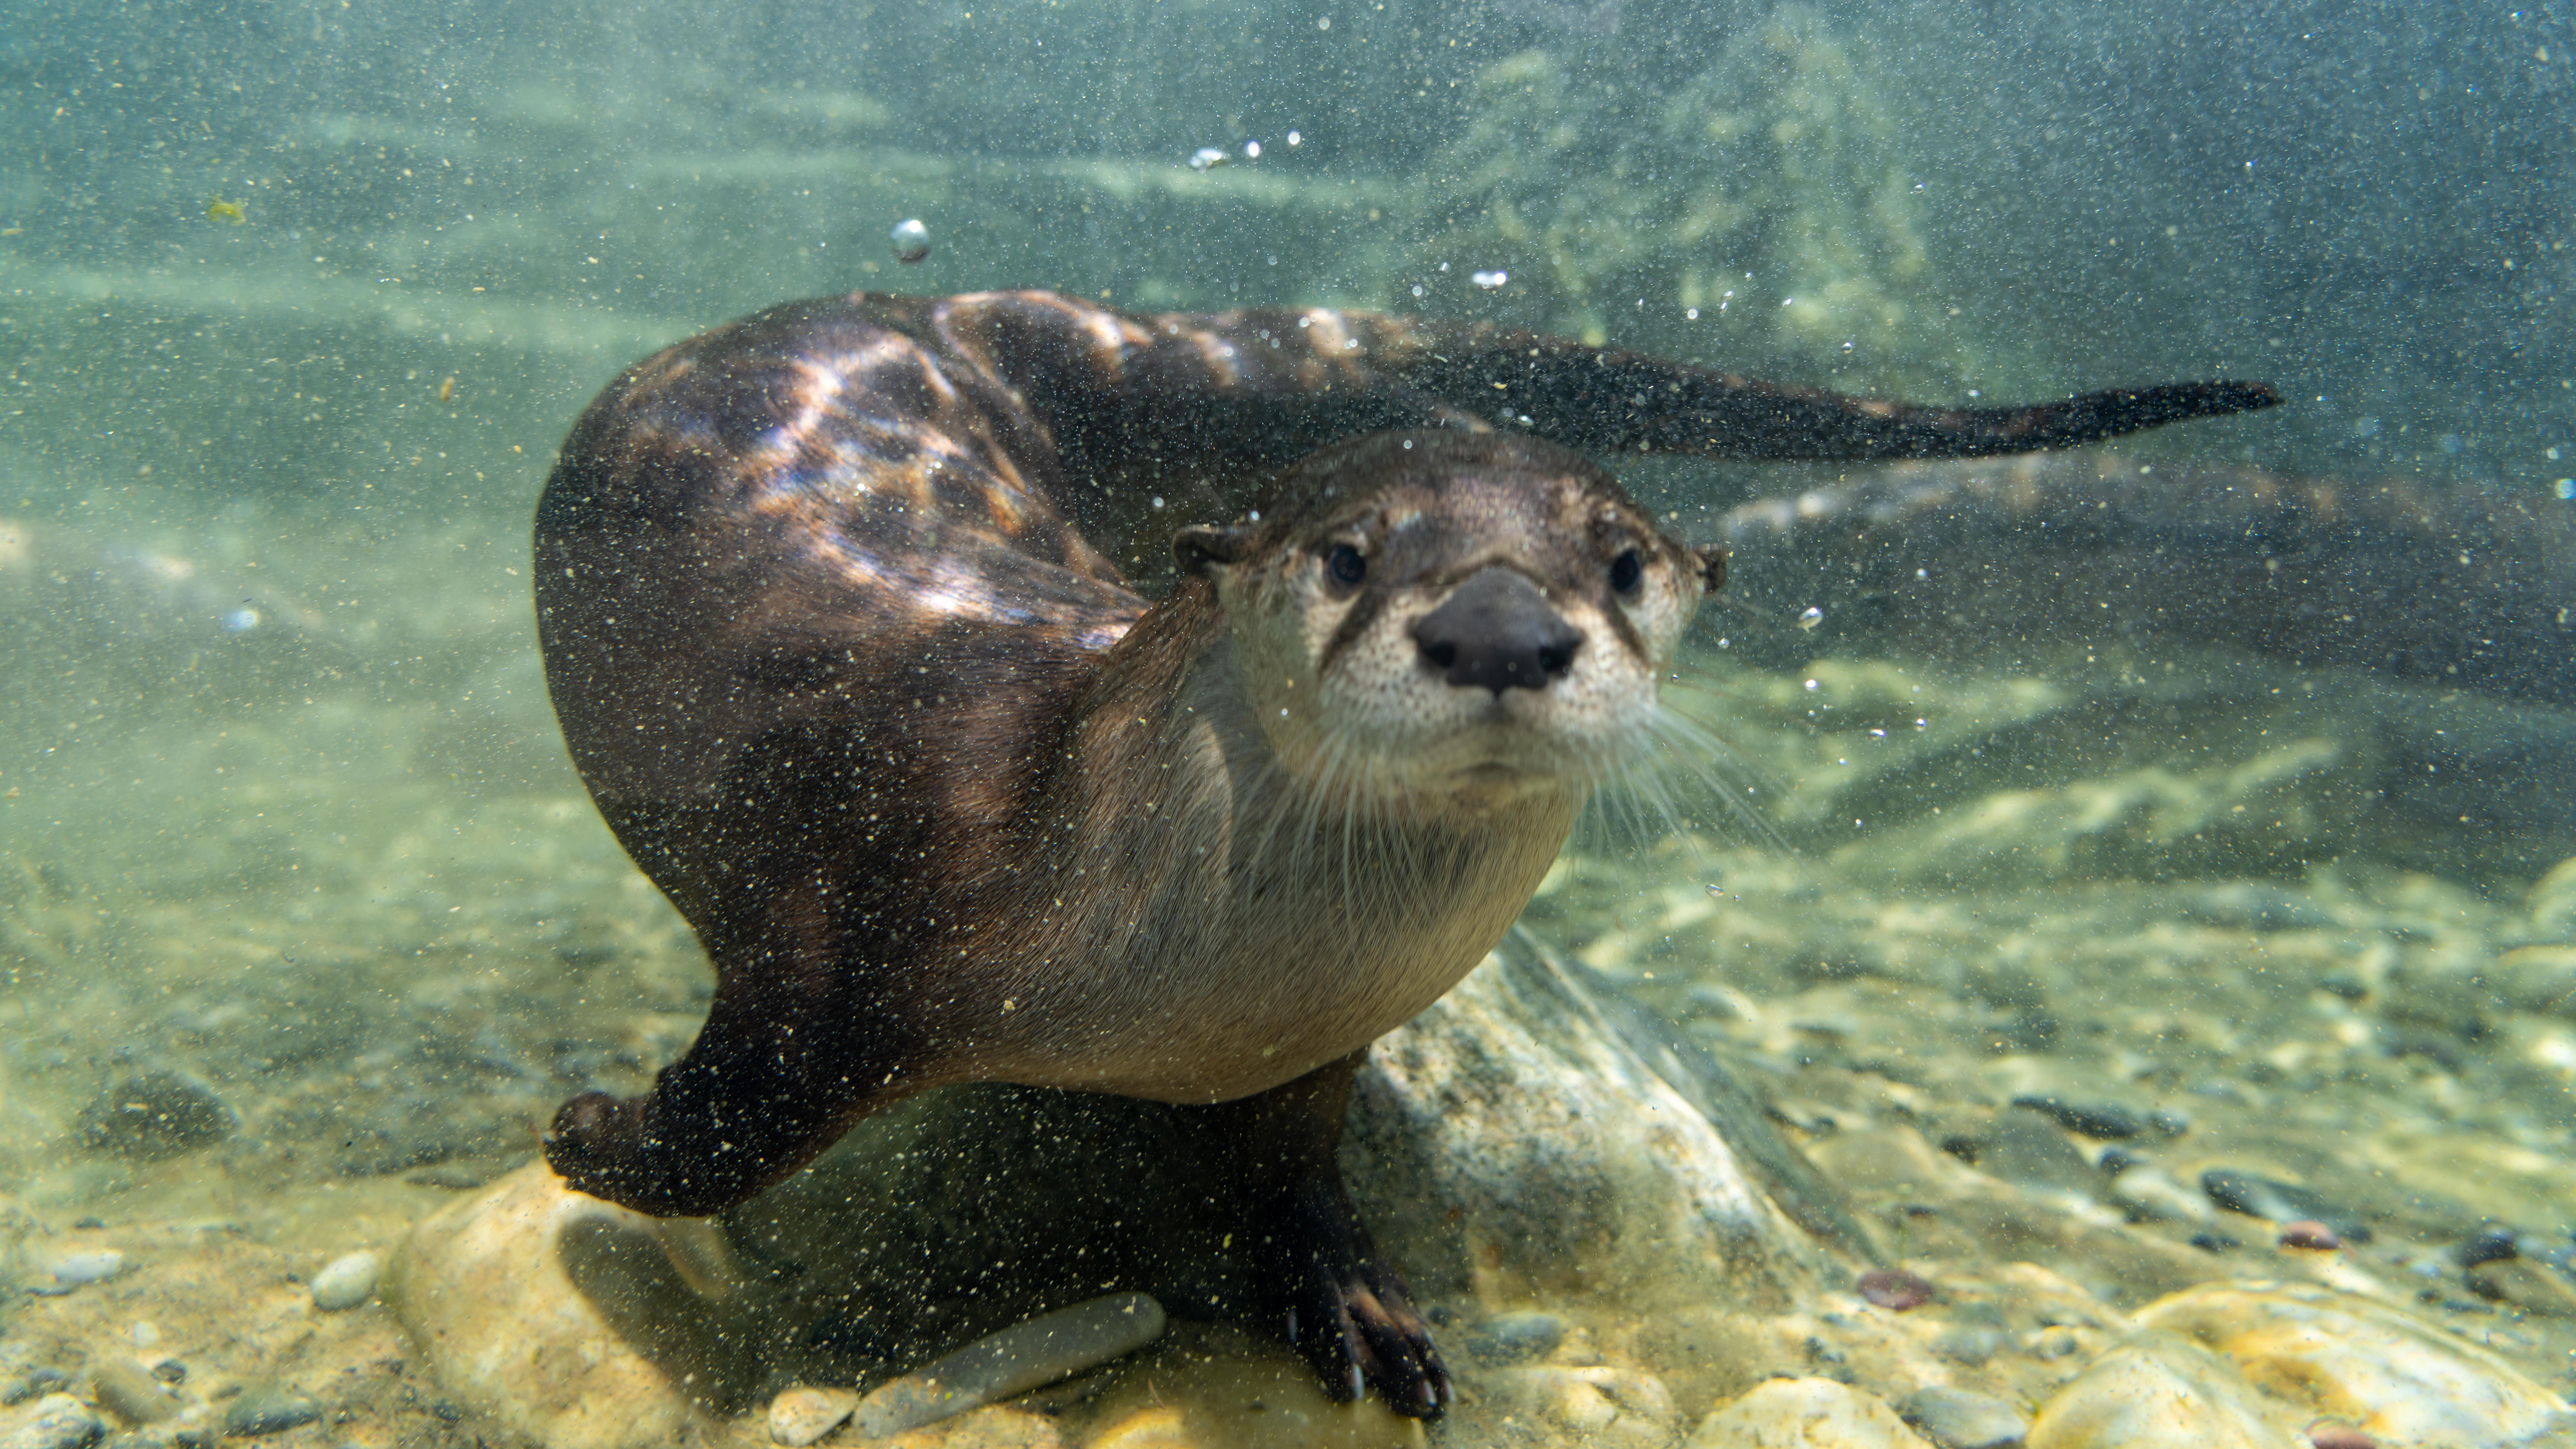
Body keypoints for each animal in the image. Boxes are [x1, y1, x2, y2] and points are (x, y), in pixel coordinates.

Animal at [534, 289, 2275, 1415]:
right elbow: (735, 1128)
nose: (1497, 630)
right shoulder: (850, 932)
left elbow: (1300, 1166)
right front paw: (587, 1134)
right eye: (1347, 556)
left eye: (1622, 560)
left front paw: (1356, 1302)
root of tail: (946, 311)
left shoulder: (1317, 1035)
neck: (1163, 977)